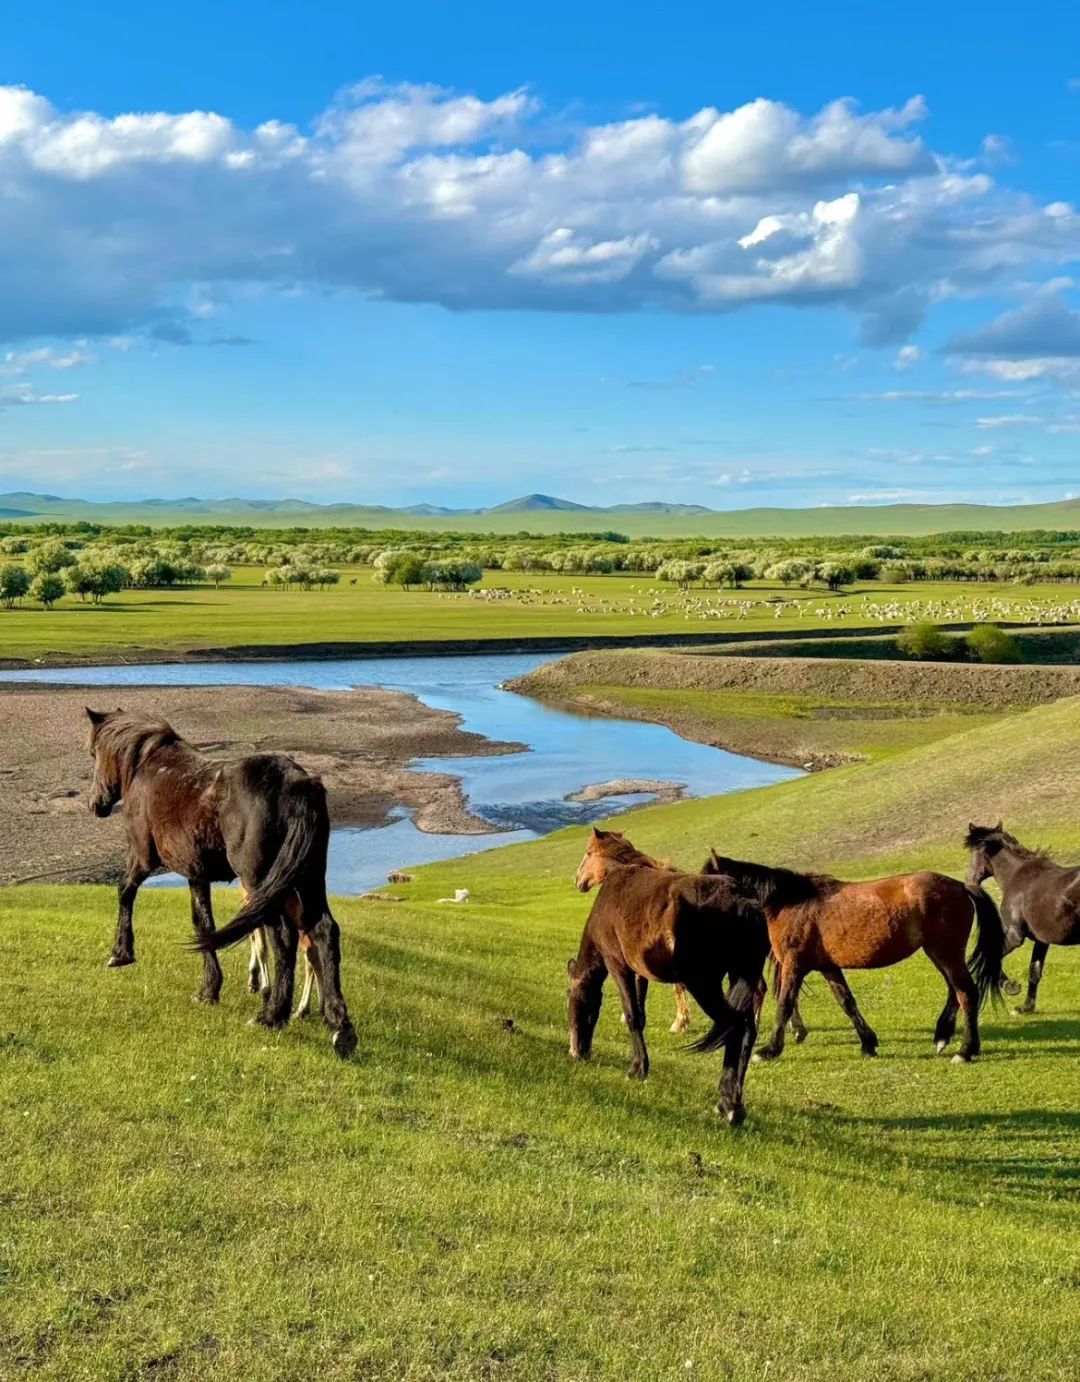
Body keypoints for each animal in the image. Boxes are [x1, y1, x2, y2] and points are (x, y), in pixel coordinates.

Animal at [85, 707, 354, 1050]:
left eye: (94, 753)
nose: (96, 804)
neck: (147, 769)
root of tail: (296, 783)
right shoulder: (195, 874)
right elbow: (203, 924)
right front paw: (209, 990)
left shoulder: (142, 858)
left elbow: (125, 891)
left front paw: (121, 953)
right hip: (306, 880)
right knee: (323, 930)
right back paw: (339, 1026)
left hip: (262, 881)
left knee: (284, 937)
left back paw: (272, 1015)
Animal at [569, 823, 768, 1127]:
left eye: (588, 853)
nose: (576, 1053)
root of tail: (743, 901)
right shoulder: (640, 972)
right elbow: (640, 1013)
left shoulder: (618, 966)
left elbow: (633, 1016)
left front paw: (637, 1069)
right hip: (740, 977)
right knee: (747, 1029)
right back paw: (733, 1102)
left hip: (705, 984)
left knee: (736, 1027)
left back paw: (728, 1106)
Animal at [699, 845, 1001, 1061]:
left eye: (707, 884)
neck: (791, 902)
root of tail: (961, 886)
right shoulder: (828, 967)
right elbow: (847, 1002)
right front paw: (868, 1043)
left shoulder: (793, 965)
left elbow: (784, 1003)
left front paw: (769, 1050)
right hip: (941, 954)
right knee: (955, 992)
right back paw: (943, 1037)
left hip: (945, 952)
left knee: (966, 993)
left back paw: (966, 1050)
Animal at [962, 818, 1078, 1017]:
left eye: (974, 851)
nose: (970, 880)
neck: (1016, 877)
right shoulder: (1041, 940)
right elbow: (1034, 972)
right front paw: (1025, 1007)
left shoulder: (1015, 936)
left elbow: (992, 957)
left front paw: (1011, 987)